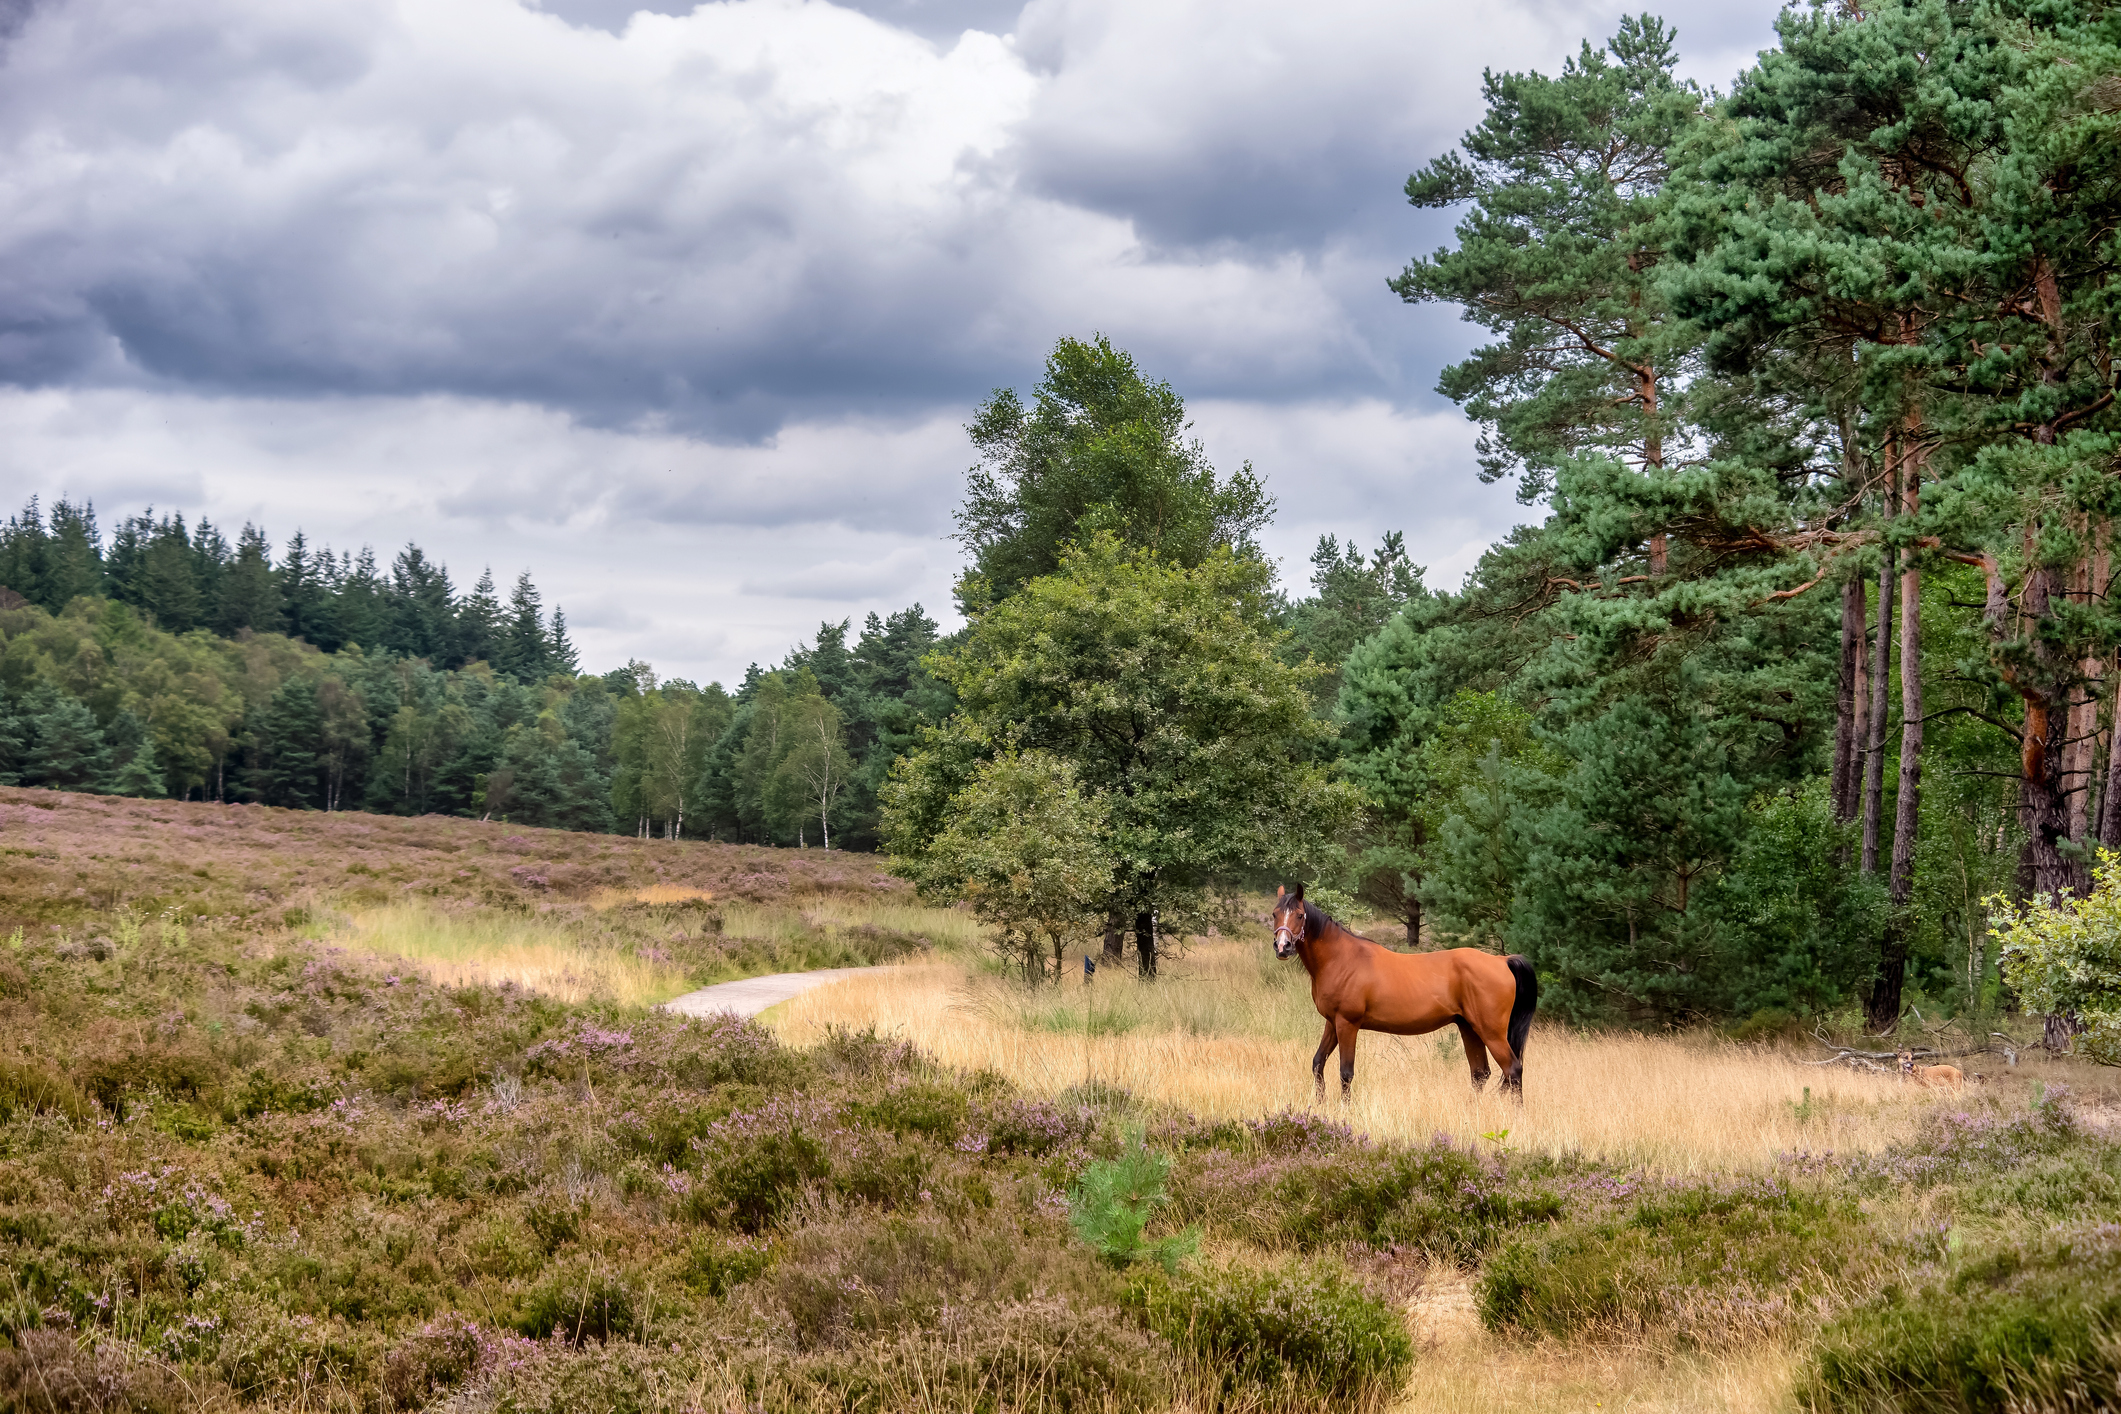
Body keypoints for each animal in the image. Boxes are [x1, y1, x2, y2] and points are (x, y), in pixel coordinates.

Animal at [1264, 886, 1535, 1102]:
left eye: (1300, 915)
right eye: (1275, 914)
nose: (1282, 947)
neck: (1341, 958)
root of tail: (1502, 960)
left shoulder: (1347, 1024)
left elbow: (1346, 1072)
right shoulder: (1332, 1023)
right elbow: (1318, 1063)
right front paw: (1320, 1104)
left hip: (1491, 1032)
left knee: (1513, 1070)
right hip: (1469, 1027)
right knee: (1480, 1073)